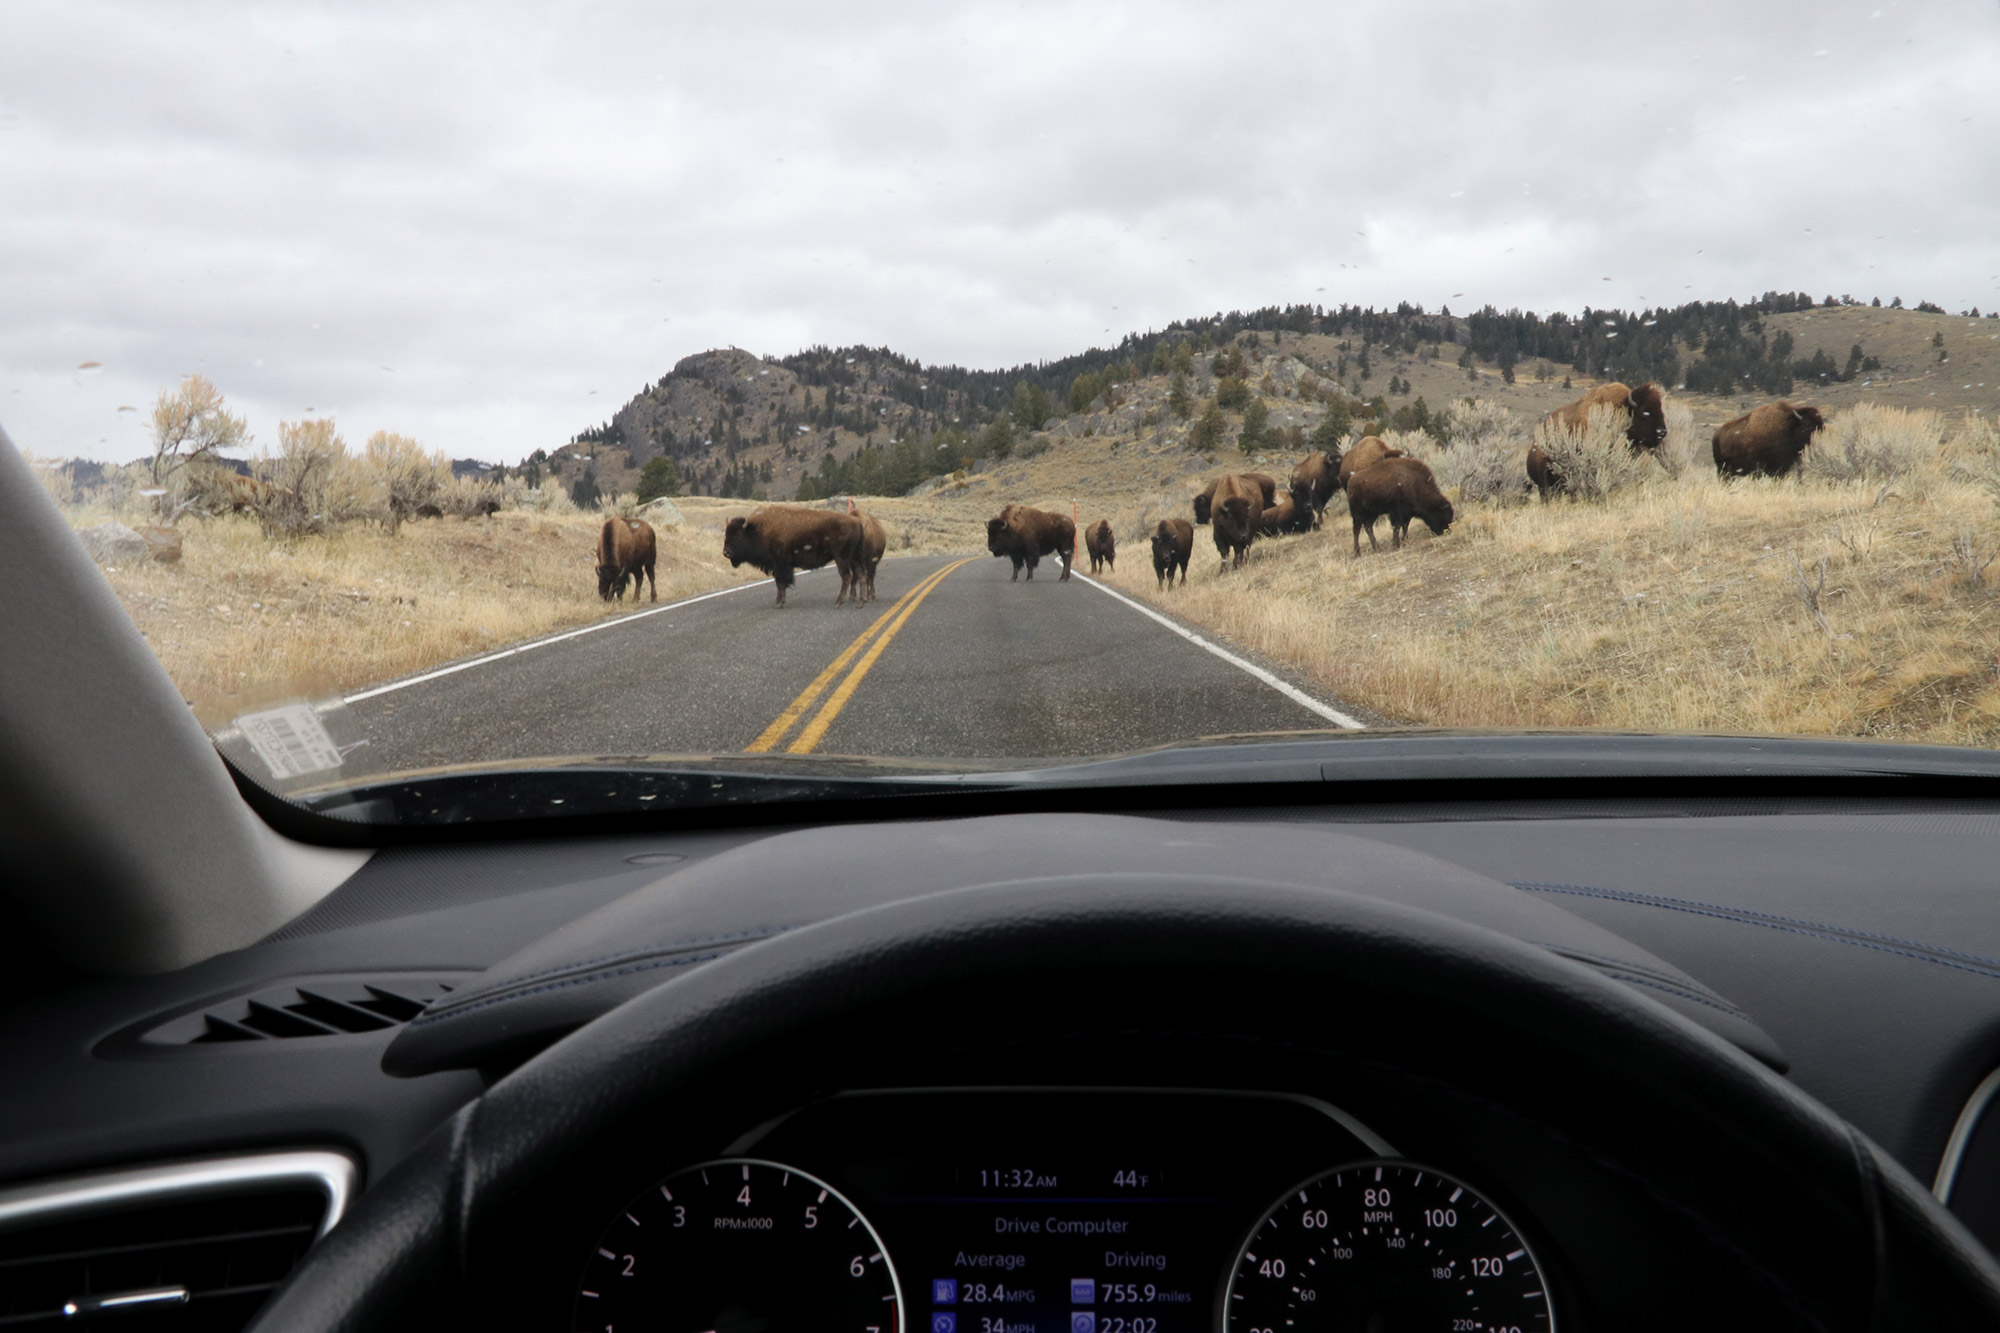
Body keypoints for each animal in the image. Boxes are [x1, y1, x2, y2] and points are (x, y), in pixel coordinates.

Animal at [728, 504, 868, 608]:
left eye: (738, 535)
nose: (726, 552)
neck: (758, 530)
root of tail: (857, 522)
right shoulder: (778, 566)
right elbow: (780, 583)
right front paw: (778, 602)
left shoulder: (779, 565)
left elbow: (780, 583)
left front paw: (779, 603)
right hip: (853, 558)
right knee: (860, 574)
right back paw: (861, 602)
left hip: (841, 558)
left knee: (846, 576)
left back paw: (838, 602)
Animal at [1704, 400, 1832, 478]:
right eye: (1807, 425)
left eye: (1821, 426)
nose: (1817, 441)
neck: (1788, 427)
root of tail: (1716, 436)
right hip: (1723, 470)